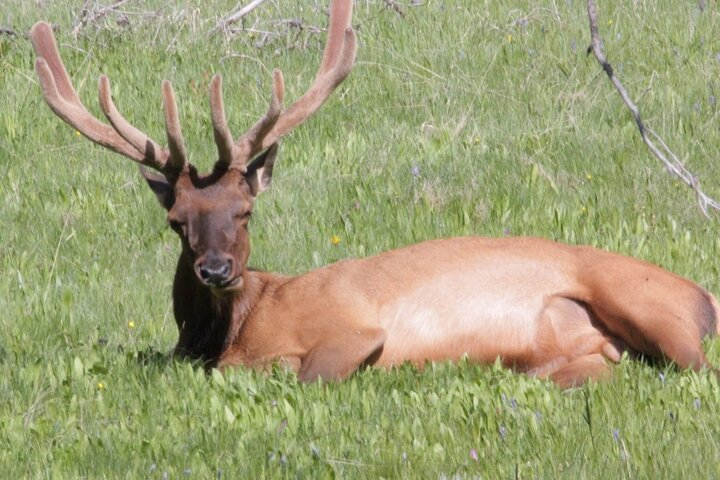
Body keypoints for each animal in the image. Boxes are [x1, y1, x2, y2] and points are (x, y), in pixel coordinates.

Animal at [30, 0, 719, 388]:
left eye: (245, 211)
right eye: (177, 219)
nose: (217, 268)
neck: (234, 327)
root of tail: (705, 296)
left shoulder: (351, 329)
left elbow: (302, 374)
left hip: (645, 302)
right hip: (580, 364)